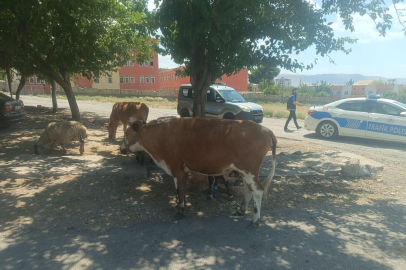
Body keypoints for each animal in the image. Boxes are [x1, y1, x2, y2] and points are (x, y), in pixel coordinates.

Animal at [119, 117, 276, 225]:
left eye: (126, 133)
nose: (121, 148)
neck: (161, 136)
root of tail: (263, 128)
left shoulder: (175, 168)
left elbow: (179, 191)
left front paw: (180, 212)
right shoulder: (184, 170)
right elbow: (182, 191)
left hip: (249, 170)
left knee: (258, 191)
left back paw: (255, 220)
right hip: (244, 172)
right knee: (248, 191)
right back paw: (240, 210)